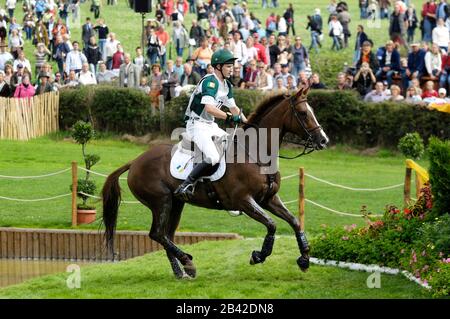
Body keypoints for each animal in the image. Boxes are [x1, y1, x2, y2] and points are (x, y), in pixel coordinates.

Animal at [101, 85, 326, 280]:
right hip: (161, 201)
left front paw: (305, 258)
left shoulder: (268, 198)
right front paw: (259, 255)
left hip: (176, 203)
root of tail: (135, 161)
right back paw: (188, 262)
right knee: (157, 234)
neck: (256, 154)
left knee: (166, 234)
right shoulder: (244, 200)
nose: (324, 140)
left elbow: (294, 222)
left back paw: (181, 271)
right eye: (303, 113)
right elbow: (271, 225)